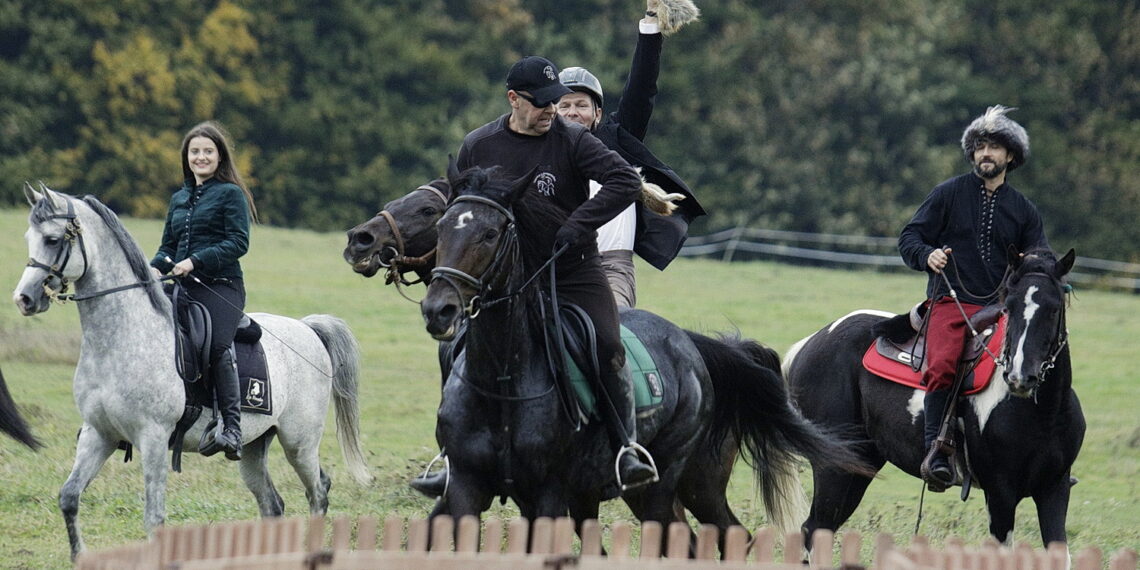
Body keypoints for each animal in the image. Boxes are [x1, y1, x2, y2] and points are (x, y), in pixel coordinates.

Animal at [11, 184, 371, 558]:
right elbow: (69, 497)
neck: (123, 337)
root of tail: (307, 328)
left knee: (318, 491)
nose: (24, 298)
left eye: (52, 239)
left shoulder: (153, 437)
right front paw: (79, 556)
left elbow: (154, 517)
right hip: (255, 446)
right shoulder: (99, 433)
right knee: (273, 505)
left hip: (299, 443)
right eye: (28, 237)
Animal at [419, 164, 870, 542]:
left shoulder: (547, 492)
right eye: (440, 227)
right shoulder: (466, 486)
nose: (438, 309)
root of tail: (689, 341)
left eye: (490, 234)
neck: (504, 380)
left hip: (675, 484)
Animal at [784, 248, 1085, 551]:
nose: (1020, 376)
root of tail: (808, 344)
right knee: (813, 529)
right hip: (834, 468)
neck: (1044, 416)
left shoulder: (1054, 489)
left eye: (1054, 308)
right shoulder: (1000, 493)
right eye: (1008, 307)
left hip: (860, 465)